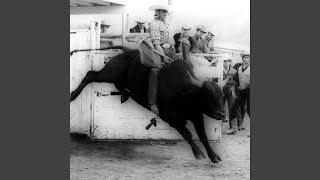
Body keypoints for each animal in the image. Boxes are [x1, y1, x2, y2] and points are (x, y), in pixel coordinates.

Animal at [70, 42, 226, 163]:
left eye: (222, 96)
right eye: (207, 96)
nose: (222, 115)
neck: (184, 93)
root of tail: (127, 51)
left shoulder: (197, 116)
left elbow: (203, 136)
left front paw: (214, 156)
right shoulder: (171, 118)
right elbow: (187, 134)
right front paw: (198, 152)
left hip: (119, 77)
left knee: (118, 84)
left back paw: (125, 95)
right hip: (111, 72)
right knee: (90, 75)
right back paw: (73, 95)